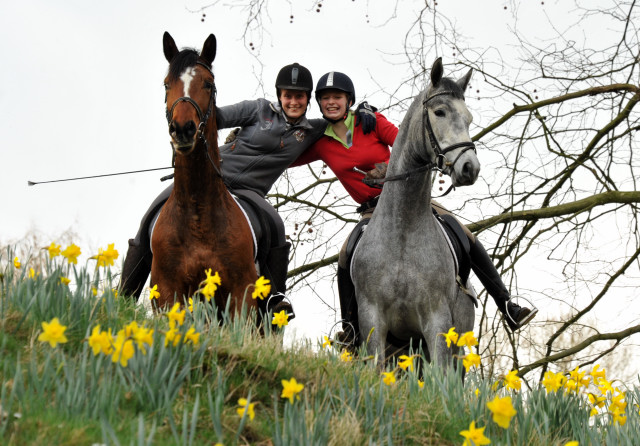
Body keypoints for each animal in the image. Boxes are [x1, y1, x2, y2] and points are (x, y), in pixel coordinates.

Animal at [350, 59, 480, 372]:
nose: (470, 168)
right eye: (440, 111)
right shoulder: (372, 320)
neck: (402, 230)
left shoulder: (437, 321)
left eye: (469, 119)